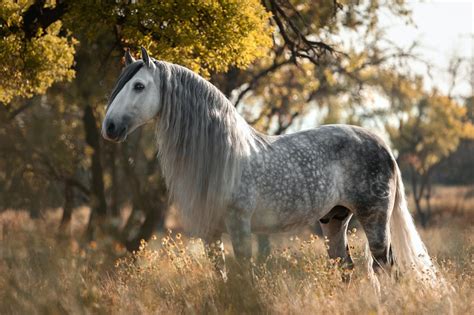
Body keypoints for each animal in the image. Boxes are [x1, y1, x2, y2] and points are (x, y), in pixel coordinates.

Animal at [102, 48, 438, 286]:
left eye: (139, 86)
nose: (109, 127)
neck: (224, 156)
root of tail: (382, 145)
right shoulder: (210, 232)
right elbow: (222, 277)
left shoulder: (239, 226)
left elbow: (244, 277)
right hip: (334, 220)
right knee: (346, 268)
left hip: (374, 219)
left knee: (386, 269)